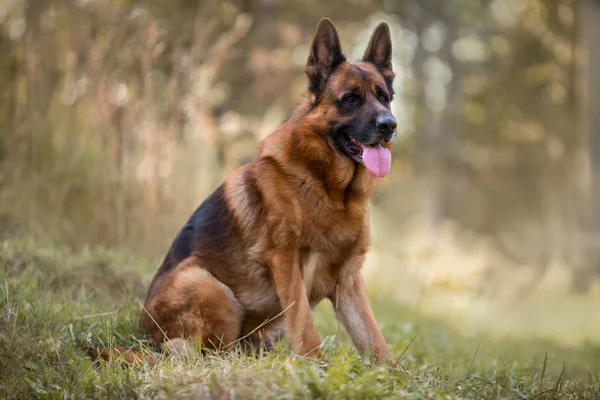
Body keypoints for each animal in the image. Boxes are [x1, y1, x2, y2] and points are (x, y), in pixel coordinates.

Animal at [91, 18, 396, 366]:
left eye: (383, 97)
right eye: (351, 99)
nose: (390, 125)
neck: (331, 189)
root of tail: (144, 332)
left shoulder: (349, 282)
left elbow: (376, 341)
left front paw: (396, 373)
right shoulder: (286, 262)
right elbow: (304, 325)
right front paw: (314, 366)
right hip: (209, 287)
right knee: (201, 355)